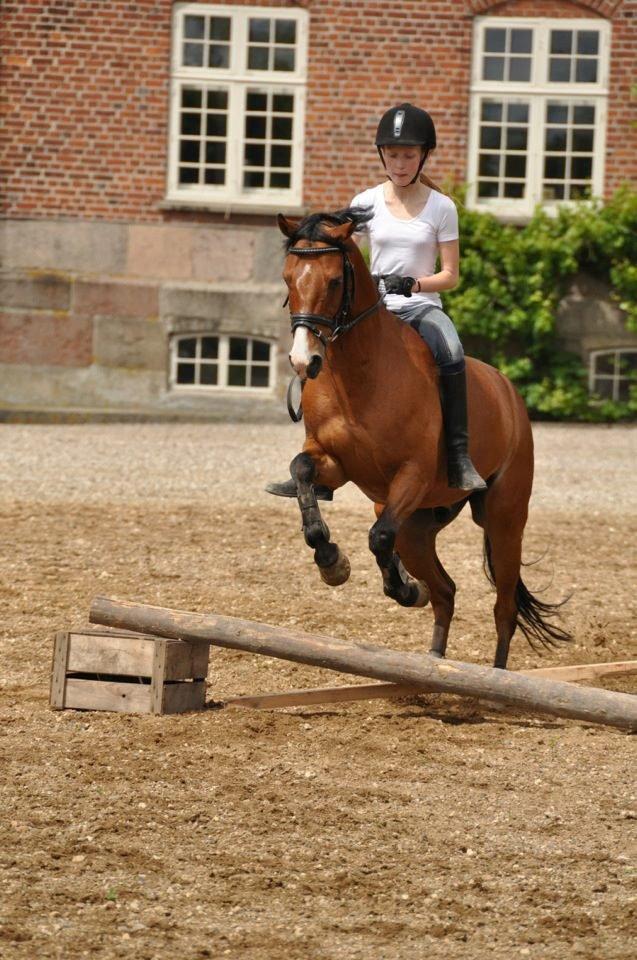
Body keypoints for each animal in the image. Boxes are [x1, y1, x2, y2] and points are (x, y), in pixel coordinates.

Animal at [276, 206, 571, 669]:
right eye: (289, 279)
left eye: (335, 281)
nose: (305, 361)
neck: (359, 373)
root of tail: (509, 393)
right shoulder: (334, 462)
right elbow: (303, 472)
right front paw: (332, 562)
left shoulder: (411, 474)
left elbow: (378, 537)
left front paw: (401, 588)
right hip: (417, 528)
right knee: (446, 591)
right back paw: (434, 657)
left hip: (504, 519)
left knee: (503, 608)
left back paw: (495, 675)